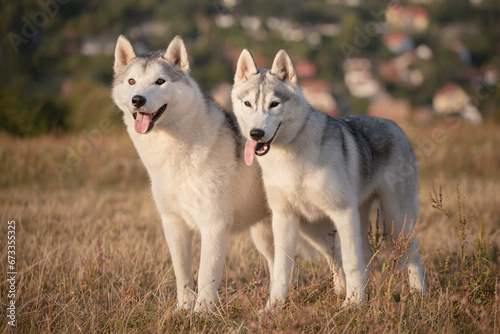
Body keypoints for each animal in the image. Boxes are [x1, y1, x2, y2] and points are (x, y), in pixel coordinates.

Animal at [110, 35, 344, 312]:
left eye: (160, 81)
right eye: (131, 81)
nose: (138, 99)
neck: (175, 154)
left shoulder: (214, 225)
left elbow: (206, 275)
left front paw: (201, 313)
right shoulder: (174, 225)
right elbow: (183, 276)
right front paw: (183, 310)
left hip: (311, 228)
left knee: (338, 256)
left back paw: (344, 295)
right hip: (266, 235)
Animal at [231, 49, 426, 308]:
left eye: (274, 104)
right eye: (248, 104)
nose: (256, 134)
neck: (289, 156)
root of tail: (394, 124)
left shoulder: (343, 213)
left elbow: (352, 263)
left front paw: (353, 305)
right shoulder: (284, 218)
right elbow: (281, 270)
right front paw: (272, 308)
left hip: (396, 219)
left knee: (411, 255)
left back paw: (418, 295)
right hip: (320, 230)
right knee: (351, 257)